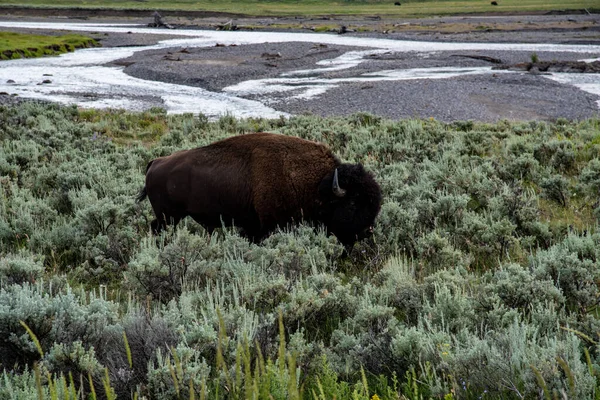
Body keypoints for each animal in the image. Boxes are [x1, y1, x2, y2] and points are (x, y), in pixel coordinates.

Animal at [137, 133, 382, 245]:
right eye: (353, 203)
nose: (366, 232)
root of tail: (156, 162)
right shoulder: (268, 224)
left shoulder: (253, 226)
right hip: (169, 216)